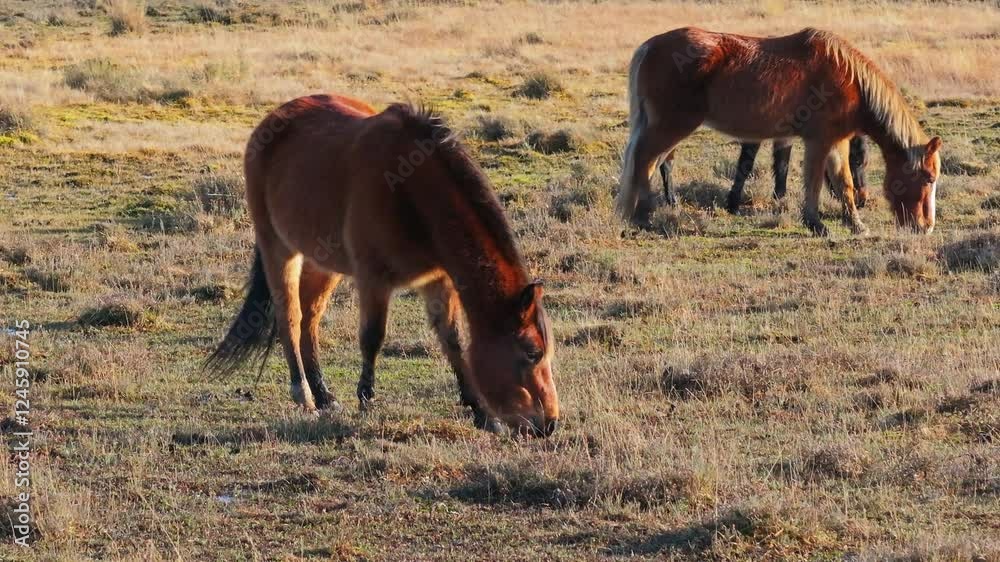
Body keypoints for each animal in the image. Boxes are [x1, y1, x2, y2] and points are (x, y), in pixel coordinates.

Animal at [205, 94, 559, 437]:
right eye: (532, 352)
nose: (550, 423)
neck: (411, 193)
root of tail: (273, 119)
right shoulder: (373, 279)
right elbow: (372, 336)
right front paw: (366, 400)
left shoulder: (437, 280)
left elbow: (452, 340)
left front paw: (482, 413)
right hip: (278, 248)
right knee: (290, 318)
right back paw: (304, 395)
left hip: (323, 264)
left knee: (310, 320)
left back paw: (324, 396)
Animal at [657, 136, 869, 213]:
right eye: (855, 161)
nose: (862, 200)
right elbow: (747, 163)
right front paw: (733, 204)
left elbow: (781, 162)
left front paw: (779, 197)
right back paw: (672, 201)